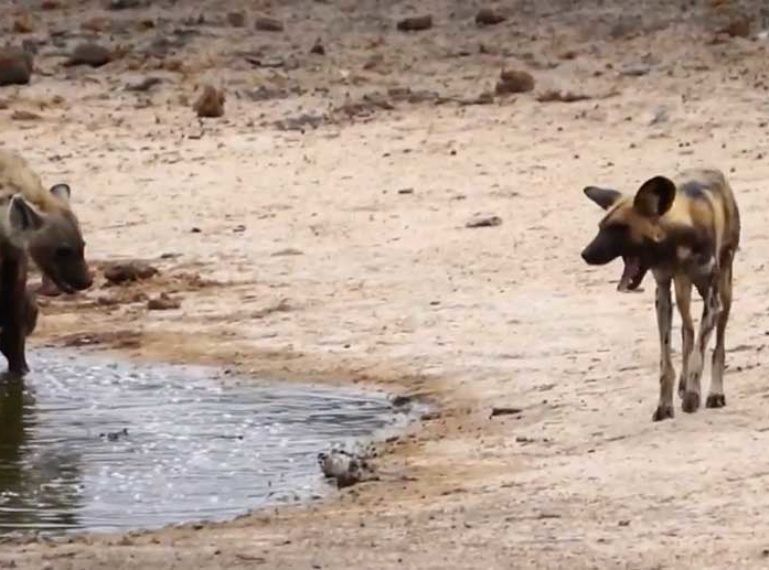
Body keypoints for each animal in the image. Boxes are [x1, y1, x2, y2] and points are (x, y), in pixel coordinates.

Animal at [0, 151, 92, 372]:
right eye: (63, 251)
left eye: (83, 246)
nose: (87, 281)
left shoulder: (14, 259)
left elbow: (15, 322)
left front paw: (21, 368)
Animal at [584, 169, 736, 418]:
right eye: (600, 227)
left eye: (619, 228)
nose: (585, 254)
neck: (677, 244)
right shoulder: (663, 294)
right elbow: (667, 363)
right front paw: (665, 405)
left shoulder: (713, 303)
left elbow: (699, 355)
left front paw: (694, 395)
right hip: (683, 291)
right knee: (688, 331)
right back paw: (684, 384)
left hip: (723, 293)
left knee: (716, 347)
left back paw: (714, 393)